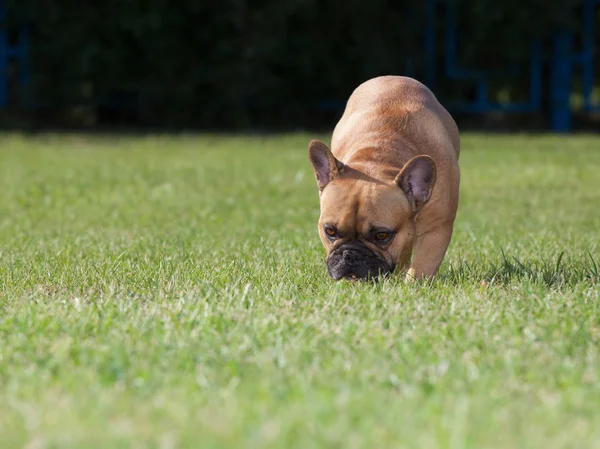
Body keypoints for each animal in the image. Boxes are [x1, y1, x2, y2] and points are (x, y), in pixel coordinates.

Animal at [310, 75, 460, 282]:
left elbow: (422, 267)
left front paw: (413, 285)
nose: (350, 254)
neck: (379, 159)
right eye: (330, 231)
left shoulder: (437, 229)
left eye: (382, 235)